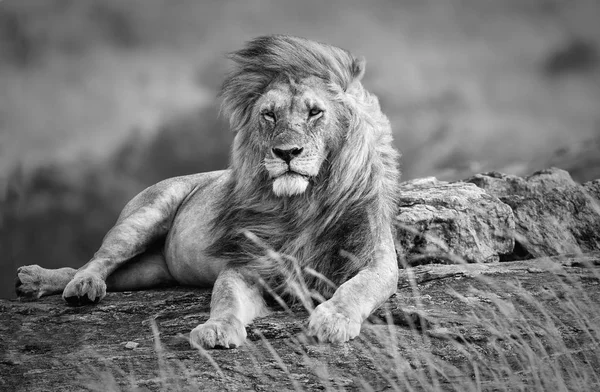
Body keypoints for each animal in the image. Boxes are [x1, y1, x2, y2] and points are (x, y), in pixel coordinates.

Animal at [15, 36, 398, 350]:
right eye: (269, 115)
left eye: (315, 112)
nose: (286, 153)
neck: (302, 204)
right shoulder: (245, 264)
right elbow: (225, 297)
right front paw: (217, 329)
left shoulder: (377, 258)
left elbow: (359, 286)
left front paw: (333, 319)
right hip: (143, 217)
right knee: (97, 260)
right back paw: (73, 284)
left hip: (148, 271)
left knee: (102, 271)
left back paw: (37, 281)